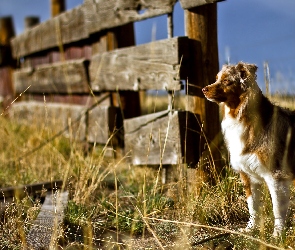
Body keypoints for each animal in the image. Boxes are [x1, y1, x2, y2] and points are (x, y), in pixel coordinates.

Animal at [202, 62, 295, 236]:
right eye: (216, 78)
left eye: (227, 81)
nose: (204, 89)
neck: (241, 116)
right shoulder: (247, 175)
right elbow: (252, 205)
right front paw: (250, 229)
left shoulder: (275, 175)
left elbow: (277, 208)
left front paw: (277, 235)